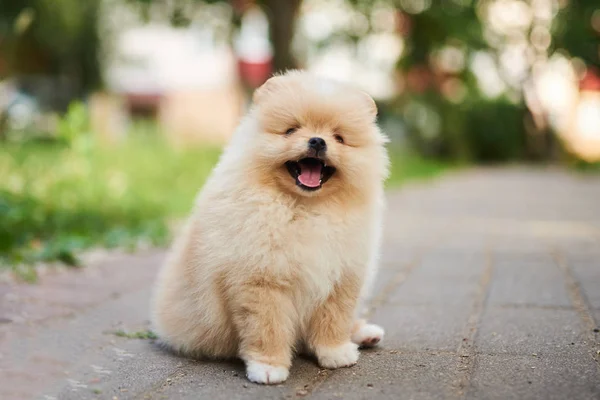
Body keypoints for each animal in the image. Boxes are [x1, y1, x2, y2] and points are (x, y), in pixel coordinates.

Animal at [151, 69, 390, 384]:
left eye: (339, 138)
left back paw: (365, 333)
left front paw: (335, 352)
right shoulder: (261, 280)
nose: (317, 141)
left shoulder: (343, 275)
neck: (305, 208)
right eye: (291, 130)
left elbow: (335, 318)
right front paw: (268, 367)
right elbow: (268, 328)